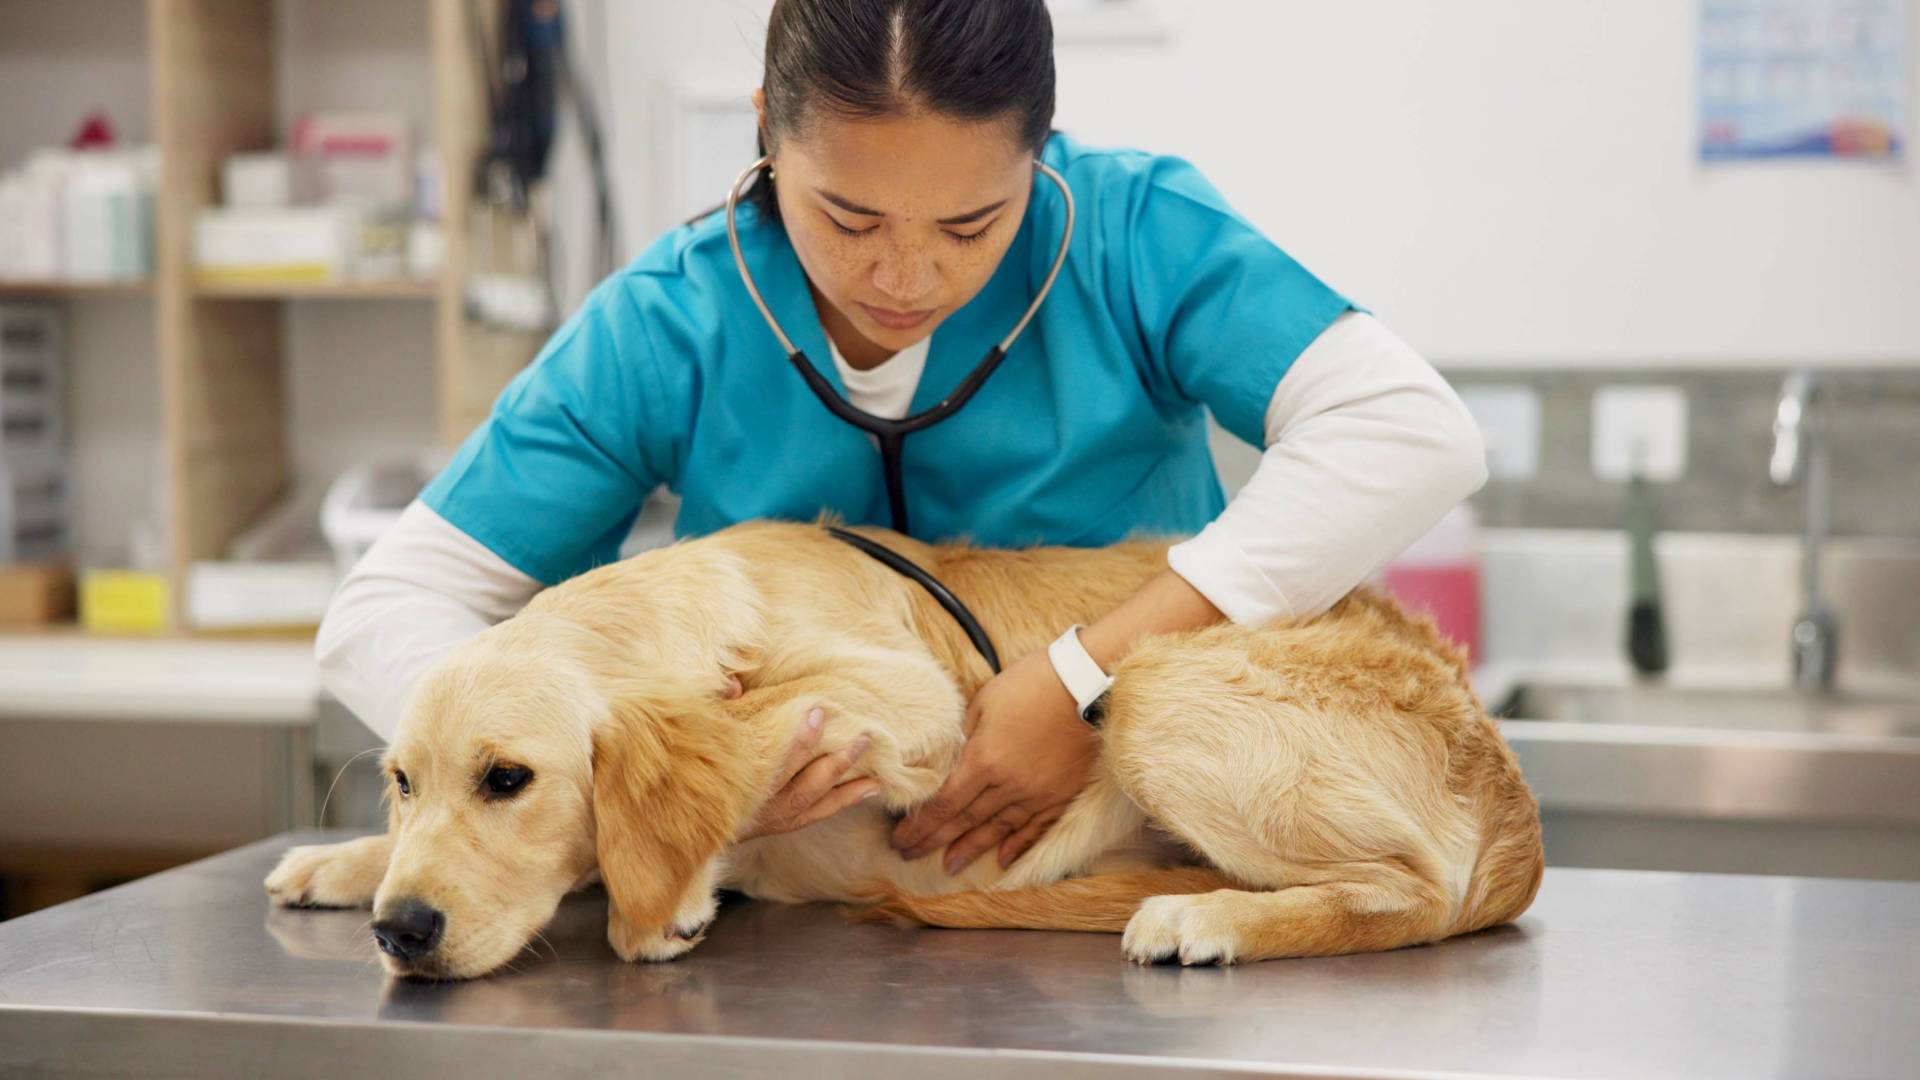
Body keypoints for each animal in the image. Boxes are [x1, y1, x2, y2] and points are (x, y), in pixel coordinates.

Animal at [266, 518, 1543, 980]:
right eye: (401, 781)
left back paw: (1210, 916)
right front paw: (341, 864)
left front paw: (660, 903)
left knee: (1409, 895)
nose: (400, 933)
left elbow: (751, 730)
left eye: (509, 780)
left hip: (1149, 689)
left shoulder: (913, 695)